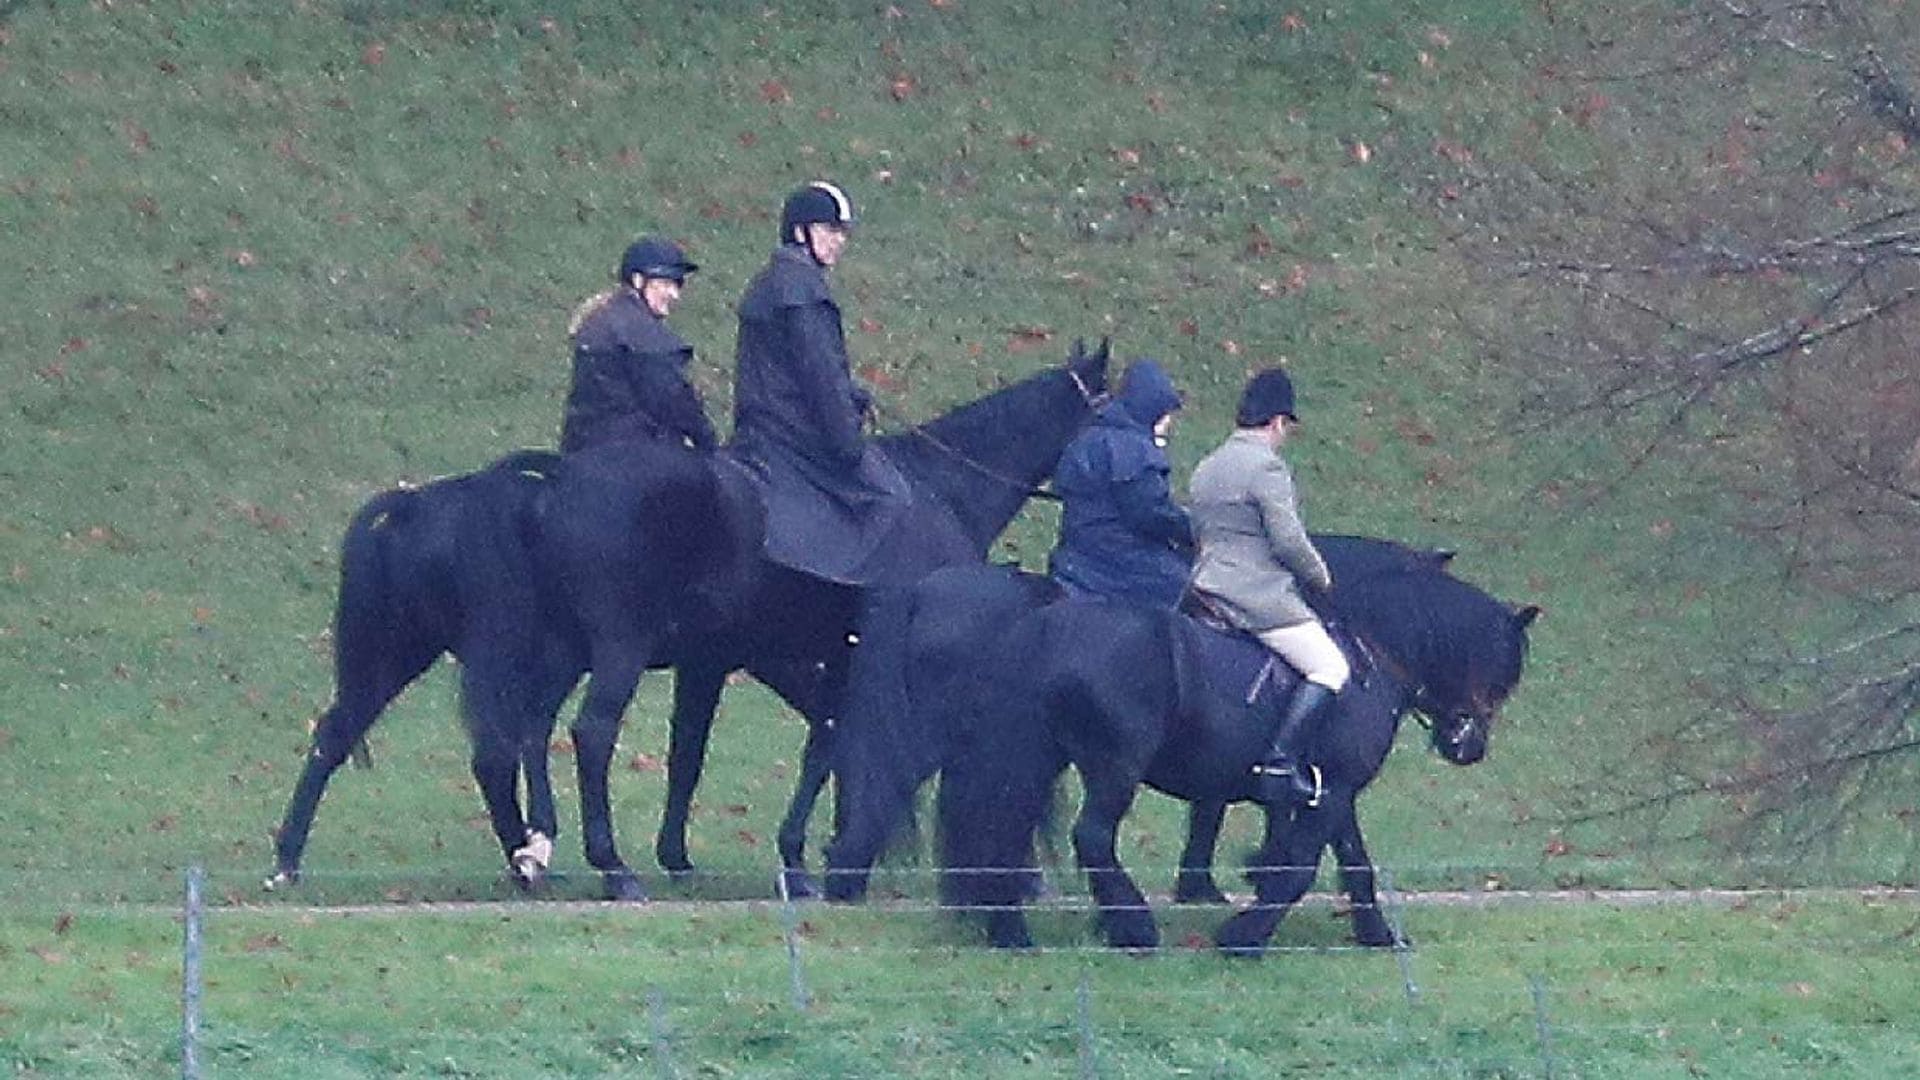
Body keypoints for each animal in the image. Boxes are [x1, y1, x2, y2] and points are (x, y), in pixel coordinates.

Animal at [270, 340, 1113, 895]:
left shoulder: (738, 662)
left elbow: (715, 751)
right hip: (609, 645)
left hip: (447, 651)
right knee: (584, 734)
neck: (938, 489)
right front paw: (821, 852)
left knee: (401, 732)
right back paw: (607, 865)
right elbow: (840, 743)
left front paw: (729, 850)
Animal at [848, 553, 1536, 949]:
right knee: (1089, 837)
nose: (1468, 745)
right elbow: (1299, 868)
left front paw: (1378, 936)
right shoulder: (1334, 787)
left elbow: (1355, 864)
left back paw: (1009, 930)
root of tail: (1044, 625)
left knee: (1004, 834)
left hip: (1036, 759)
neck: (1369, 657)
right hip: (1113, 766)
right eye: (1503, 668)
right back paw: (1130, 926)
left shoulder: (1333, 791)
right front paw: (1245, 935)